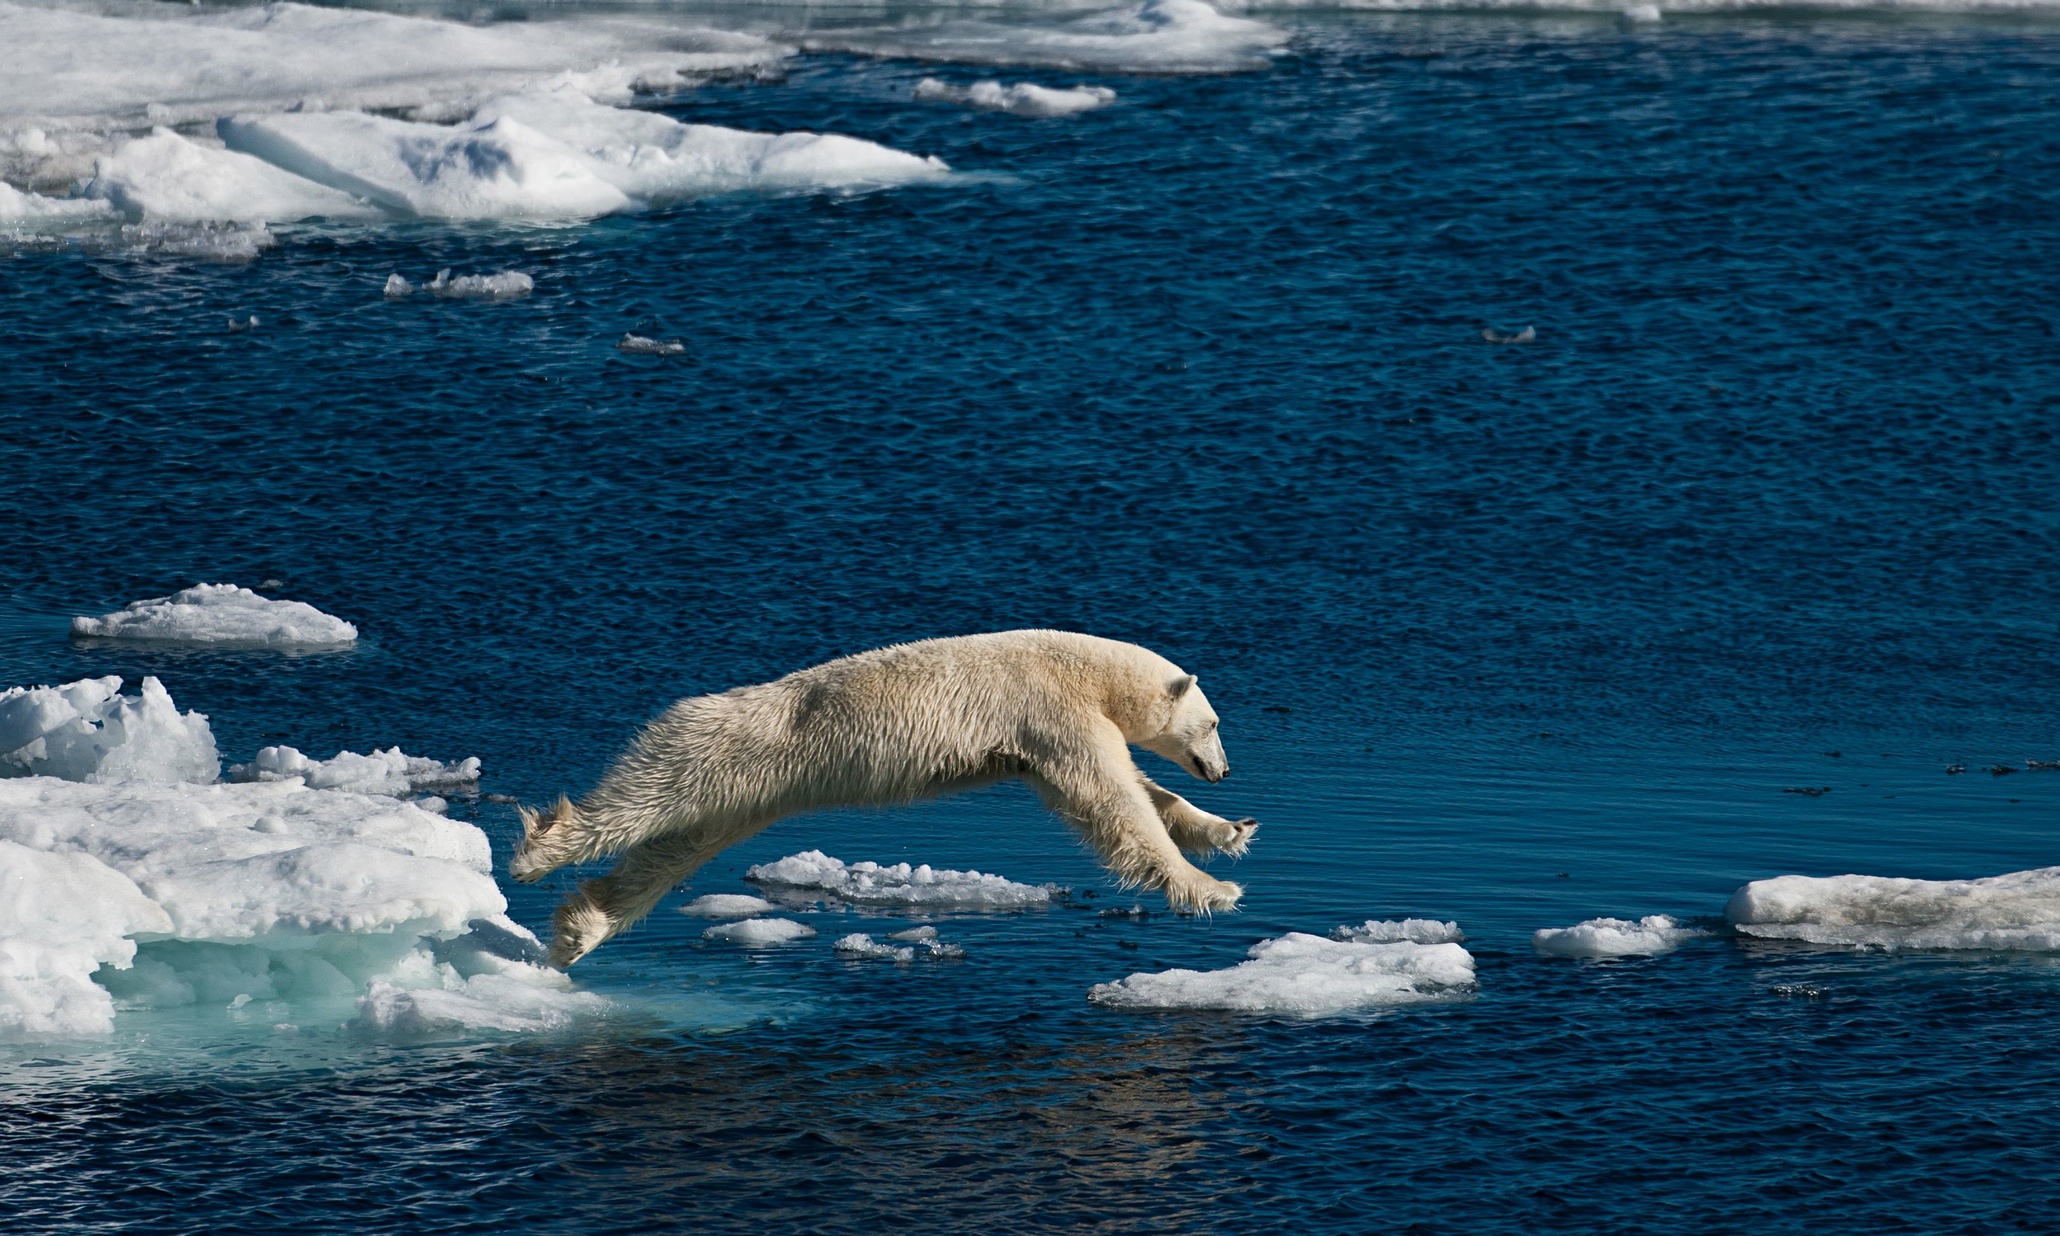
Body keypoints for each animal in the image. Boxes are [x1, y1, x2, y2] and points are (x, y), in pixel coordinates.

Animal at [515, 634, 1252, 972]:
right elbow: (1113, 802)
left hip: (746, 793)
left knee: (671, 853)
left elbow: (1133, 793)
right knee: (645, 802)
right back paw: (539, 849)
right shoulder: (1053, 710)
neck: (1084, 670)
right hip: (714, 752)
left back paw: (580, 930)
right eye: (1215, 723)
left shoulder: (1037, 744)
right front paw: (1213, 889)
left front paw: (1229, 829)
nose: (1224, 770)